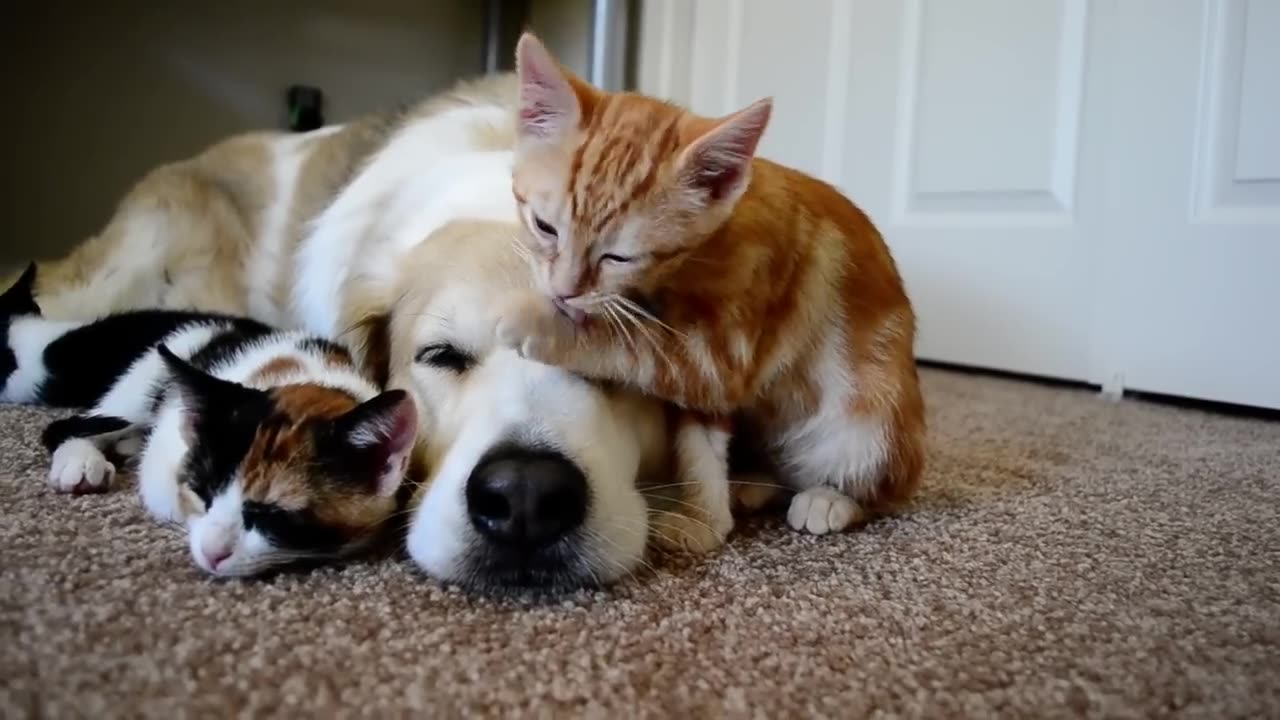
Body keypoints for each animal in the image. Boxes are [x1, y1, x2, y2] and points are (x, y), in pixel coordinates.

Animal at [2, 263, 414, 571]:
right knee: (71, 424)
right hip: (142, 381)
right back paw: (82, 461)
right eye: (203, 492)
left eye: (271, 516)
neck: (307, 375)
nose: (213, 553)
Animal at [494, 33, 926, 538]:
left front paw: (538, 320)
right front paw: (705, 519)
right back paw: (753, 484)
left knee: (888, 489)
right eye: (545, 227)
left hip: (870, 423)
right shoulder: (704, 376)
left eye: (619, 257)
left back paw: (831, 499)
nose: (564, 292)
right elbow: (697, 438)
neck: (696, 259)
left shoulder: (721, 354)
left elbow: (636, 345)